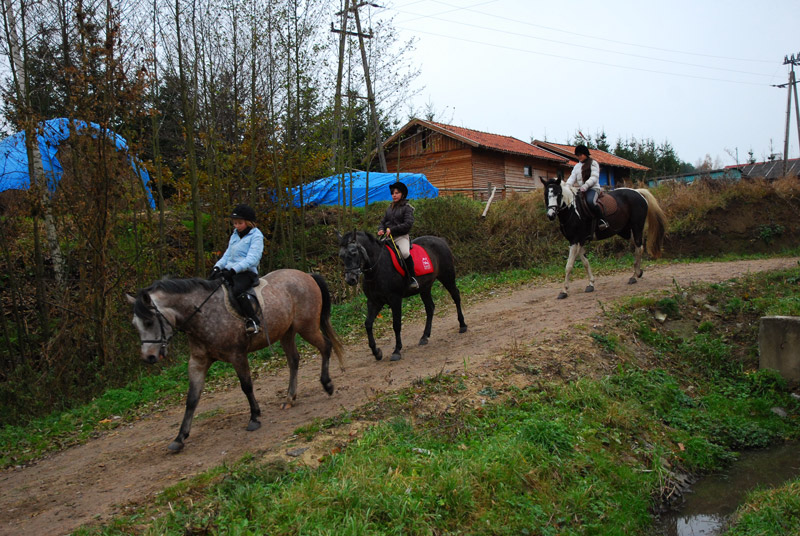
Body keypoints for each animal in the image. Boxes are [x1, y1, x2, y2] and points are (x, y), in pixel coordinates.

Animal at [123, 270, 342, 450]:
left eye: (149, 322)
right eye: (135, 324)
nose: (149, 357)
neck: (203, 314)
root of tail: (306, 275)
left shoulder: (237, 355)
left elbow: (246, 386)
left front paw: (254, 418)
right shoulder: (198, 362)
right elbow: (192, 399)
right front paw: (179, 438)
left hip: (307, 327)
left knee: (325, 347)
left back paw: (327, 384)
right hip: (286, 332)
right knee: (294, 360)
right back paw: (289, 398)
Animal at [536, 178, 668, 300]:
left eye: (558, 193)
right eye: (545, 194)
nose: (551, 215)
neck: (572, 210)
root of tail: (638, 192)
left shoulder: (575, 241)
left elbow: (569, 266)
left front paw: (564, 291)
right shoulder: (579, 241)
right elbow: (585, 263)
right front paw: (591, 284)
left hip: (636, 226)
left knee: (639, 247)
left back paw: (634, 276)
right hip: (624, 231)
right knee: (638, 246)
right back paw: (638, 273)